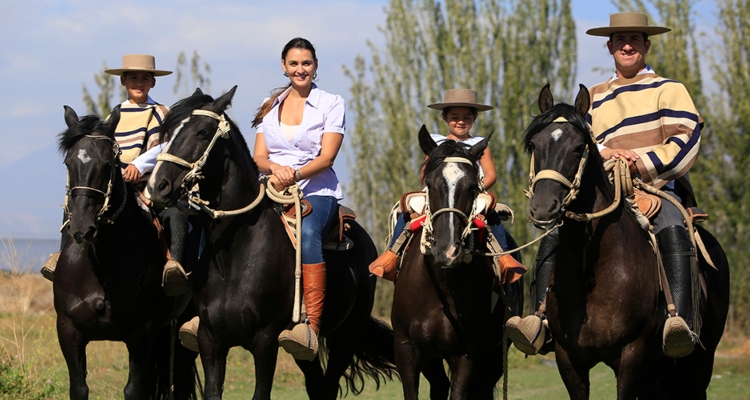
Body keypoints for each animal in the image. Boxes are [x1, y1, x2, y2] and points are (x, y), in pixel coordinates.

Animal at [54, 106, 198, 400]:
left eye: (107, 165)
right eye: (69, 164)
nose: (82, 228)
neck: (101, 263)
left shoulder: (140, 334)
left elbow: (133, 390)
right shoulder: (68, 331)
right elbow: (79, 388)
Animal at [145, 88, 394, 400]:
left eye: (202, 132)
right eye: (167, 133)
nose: (158, 186)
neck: (234, 257)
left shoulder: (265, 341)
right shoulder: (210, 341)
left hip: (344, 336)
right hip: (306, 351)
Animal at [394, 126, 524, 398]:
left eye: (472, 187)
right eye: (429, 184)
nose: (448, 250)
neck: (442, 286)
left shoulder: (468, 353)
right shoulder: (406, 350)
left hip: (496, 352)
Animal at [524, 83, 732, 396]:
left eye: (578, 148)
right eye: (535, 144)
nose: (543, 206)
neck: (593, 271)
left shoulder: (631, 357)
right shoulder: (569, 360)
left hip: (698, 362)